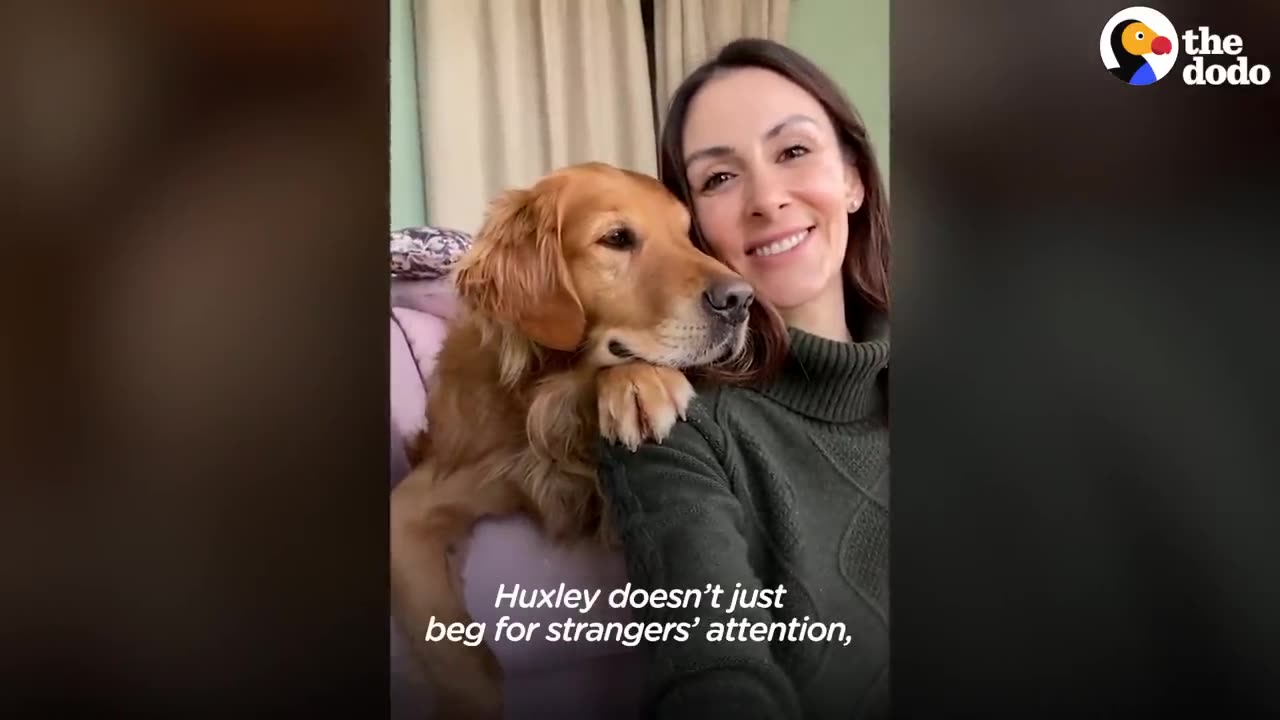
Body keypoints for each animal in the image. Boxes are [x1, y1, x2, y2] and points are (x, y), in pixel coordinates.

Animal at [386, 159, 747, 712]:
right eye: (617, 238)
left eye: (687, 235)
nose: (743, 300)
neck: (547, 393)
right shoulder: (413, 509)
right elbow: (458, 654)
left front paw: (641, 383)